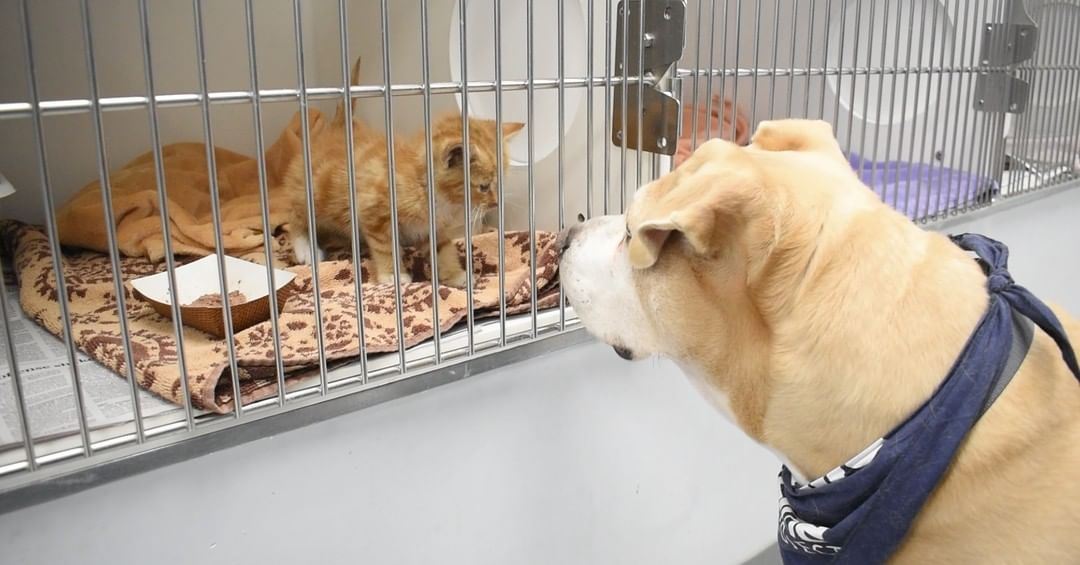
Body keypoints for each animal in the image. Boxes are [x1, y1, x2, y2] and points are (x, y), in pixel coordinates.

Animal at [282, 57, 522, 287]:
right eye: (484, 187)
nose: (496, 203)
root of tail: (336, 129)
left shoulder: (433, 229)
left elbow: (443, 249)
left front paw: (455, 275)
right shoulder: (373, 212)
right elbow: (385, 246)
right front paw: (392, 275)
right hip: (310, 193)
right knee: (294, 216)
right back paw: (305, 248)